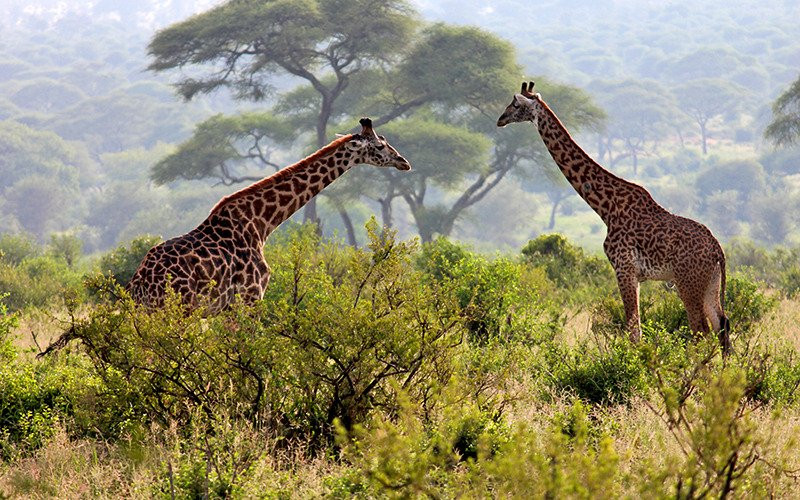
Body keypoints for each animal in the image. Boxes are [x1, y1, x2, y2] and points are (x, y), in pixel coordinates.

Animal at [126, 117, 412, 312]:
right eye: (380, 145)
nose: (404, 162)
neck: (262, 223)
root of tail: (138, 285)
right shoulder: (250, 297)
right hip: (176, 309)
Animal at [500, 82, 732, 354]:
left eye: (515, 104)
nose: (500, 120)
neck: (606, 208)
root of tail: (718, 251)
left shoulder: (624, 269)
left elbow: (633, 332)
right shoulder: (633, 274)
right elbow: (635, 329)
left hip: (688, 283)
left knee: (701, 331)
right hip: (710, 284)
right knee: (722, 325)